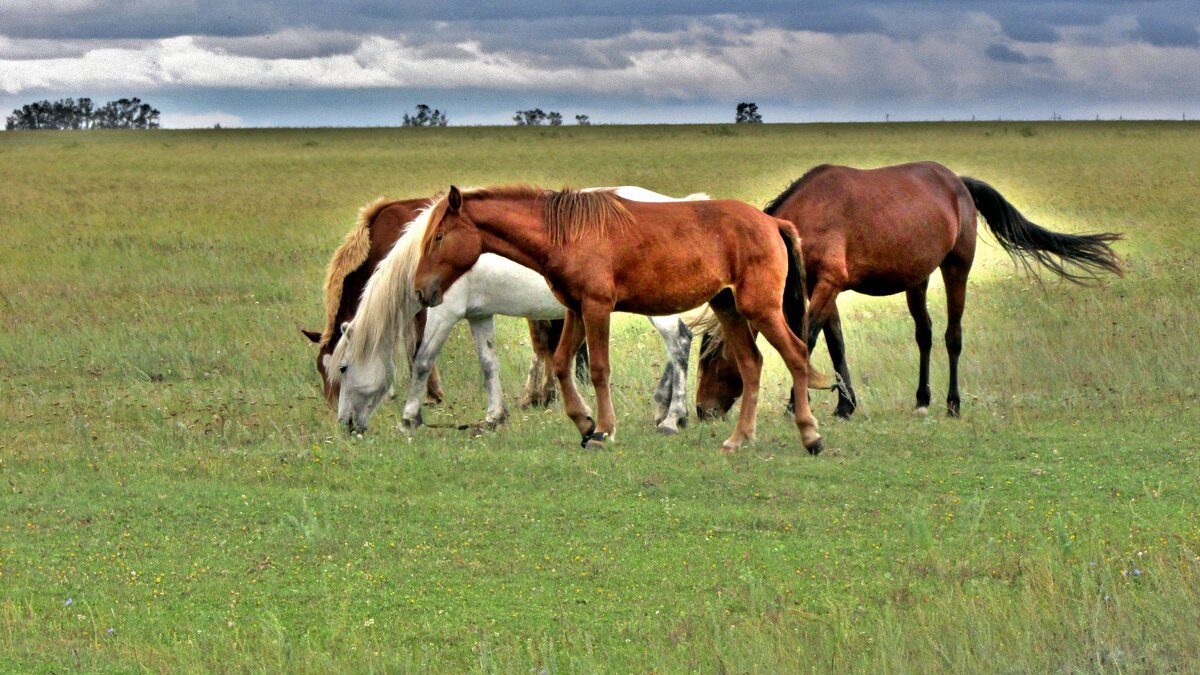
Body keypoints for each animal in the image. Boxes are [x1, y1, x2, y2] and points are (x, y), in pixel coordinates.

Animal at [326, 186, 700, 432]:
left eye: (343, 368)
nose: (345, 423)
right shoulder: (478, 315)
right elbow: (489, 364)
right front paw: (494, 416)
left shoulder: (443, 314)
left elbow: (421, 360)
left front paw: (410, 417)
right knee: (679, 344)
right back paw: (664, 408)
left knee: (679, 344)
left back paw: (672, 416)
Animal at [408, 183, 830, 451]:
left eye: (439, 237)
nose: (420, 290)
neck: (567, 233)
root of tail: (771, 223)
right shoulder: (576, 309)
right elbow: (561, 364)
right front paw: (584, 422)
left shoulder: (597, 307)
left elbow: (598, 369)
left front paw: (603, 431)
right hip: (729, 308)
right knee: (751, 364)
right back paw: (739, 439)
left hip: (760, 309)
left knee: (795, 355)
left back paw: (810, 436)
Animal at [696, 159, 1123, 417]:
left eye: (711, 361)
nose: (702, 411)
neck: (807, 219)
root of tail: (958, 182)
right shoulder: (823, 287)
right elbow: (836, 343)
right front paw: (845, 404)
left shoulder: (829, 284)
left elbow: (808, 339)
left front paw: (794, 406)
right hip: (917, 280)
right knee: (925, 335)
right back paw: (922, 399)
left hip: (956, 268)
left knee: (952, 336)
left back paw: (952, 403)